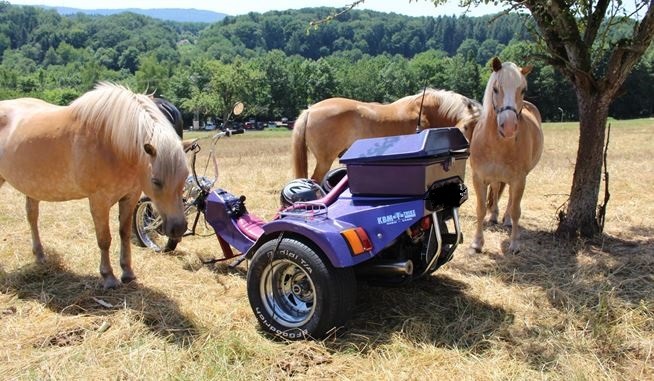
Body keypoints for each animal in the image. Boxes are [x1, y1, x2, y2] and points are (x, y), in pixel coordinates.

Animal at [0, 81, 190, 286]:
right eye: (156, 181)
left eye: (185, 176)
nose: (178, 228)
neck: (112, 142)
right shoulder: (99, 200)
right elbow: (104, 238)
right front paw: (108, 277)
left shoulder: (130, 197)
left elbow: (124, 233)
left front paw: (127, 272)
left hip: (32, 186)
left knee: (32, 216)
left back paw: (40, 256)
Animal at [474, 57, 544, 252]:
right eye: (496, 89)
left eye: (523, 90)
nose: (509, 127)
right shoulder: (478, 177)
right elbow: (480, 209)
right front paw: (477, 243)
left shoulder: (519, 179)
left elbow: (516, 210)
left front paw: (514, 244)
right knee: (497, 189)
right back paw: (494, 216)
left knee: (512, 199)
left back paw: (505, 219)